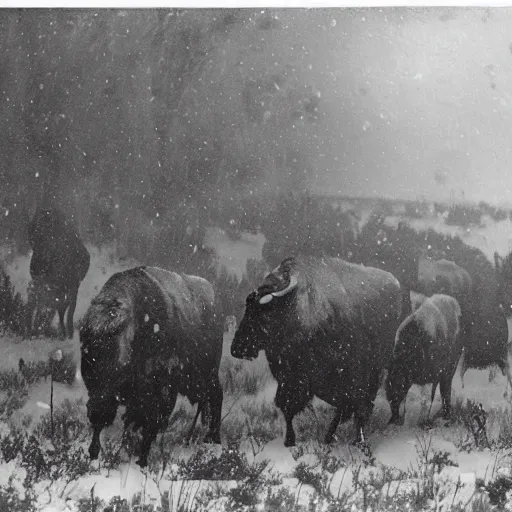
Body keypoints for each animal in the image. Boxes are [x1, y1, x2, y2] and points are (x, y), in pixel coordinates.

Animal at [80, 266, 222, 470]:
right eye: (86, 352)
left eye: (114, 353)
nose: (96, 406)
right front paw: (94, 454)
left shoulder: (158, 392)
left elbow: (150, 424)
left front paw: (141, 462)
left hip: (206, 375)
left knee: (216, 396)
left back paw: (213, 440)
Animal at [232, 256, 404, 448]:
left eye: (262, 313)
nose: (237, 348)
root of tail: (394, 282)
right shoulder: (290, 379)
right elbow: (288, 407)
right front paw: (290, 441)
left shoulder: (353, 376)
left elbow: (355, 405)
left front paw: (358, 441)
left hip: (376, 369)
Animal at [384, 292, 464, 424]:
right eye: (388, 391)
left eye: (398, 388)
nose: (393, 419)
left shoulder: (434, 376)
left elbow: (428, 399)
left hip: (450, 368)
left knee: (445, 389)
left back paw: (446, 415)